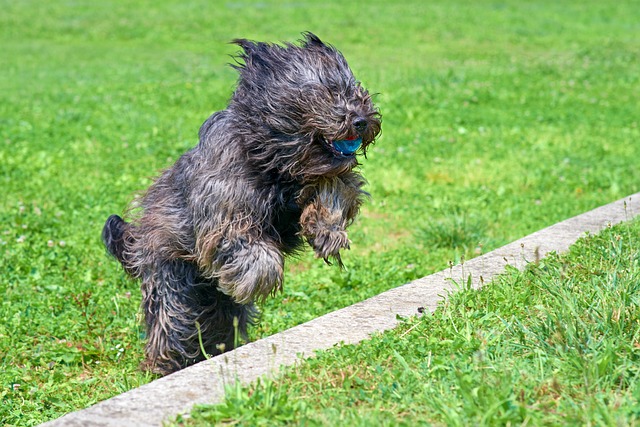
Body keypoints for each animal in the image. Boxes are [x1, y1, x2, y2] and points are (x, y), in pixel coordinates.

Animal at [100, 32, 380, 374]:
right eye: (327, 92)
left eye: (355, 90)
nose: (361, 120)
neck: (273, 163)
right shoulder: (222, 211)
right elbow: (247, 245)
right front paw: (258, 277)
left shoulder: (331, 176)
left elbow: (338, 189)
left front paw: (326, 231)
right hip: (171, 281)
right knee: (170, 323)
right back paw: (163, 365)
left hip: (217, 308)